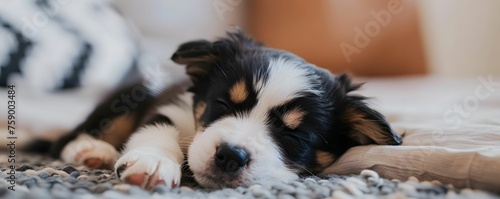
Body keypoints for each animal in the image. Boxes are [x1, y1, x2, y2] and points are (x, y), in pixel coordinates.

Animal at [51, 30, 402, 188]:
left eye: (296, 136)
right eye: (222, 104)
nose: (231, 156)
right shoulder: (171, 105)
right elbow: (157, 129)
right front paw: (152, 163)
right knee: (68, 138)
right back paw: (89, 150)